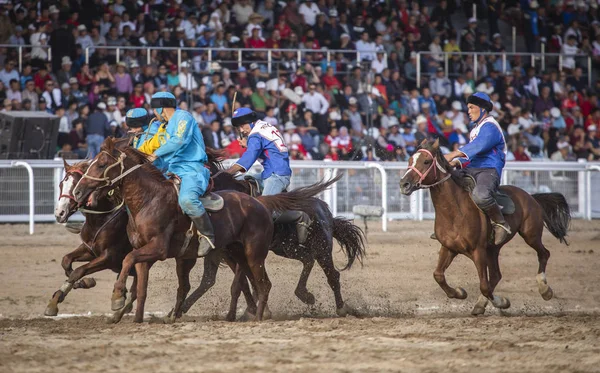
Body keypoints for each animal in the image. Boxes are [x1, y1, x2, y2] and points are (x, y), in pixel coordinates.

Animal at [47, 158, 136, 320]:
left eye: (76, 186)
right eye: (61, 184)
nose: (59, 213)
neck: (101, 218)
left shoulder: (109, 257)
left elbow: (79, 270)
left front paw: (85, 282)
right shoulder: (89, 250)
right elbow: (66, 261)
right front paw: (76, 286)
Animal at [71, 138, 338, 322]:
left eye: (101, 164)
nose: (78, 192)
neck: (148, 201)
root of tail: (260, 204)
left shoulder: (158, 249)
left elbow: (127, 261)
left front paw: (117, 298)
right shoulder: (148, 254)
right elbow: (141, 285)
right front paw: (131, 316)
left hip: (266, 253)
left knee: (288, 278)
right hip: (237, 253)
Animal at [400, 139, 568, 314]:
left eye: (426, 161)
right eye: (410, 160)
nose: (404, 184)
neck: (455, 211)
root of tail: (530, 197)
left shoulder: (478, 250)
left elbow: (484, 286)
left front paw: (502, 302)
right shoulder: (448, 248)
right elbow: (438, 275)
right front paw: (459, 292)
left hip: (530, 235)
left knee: (544, 254)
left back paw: (545, 289)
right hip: (493, 249)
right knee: (496, 275)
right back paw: (481, 304)